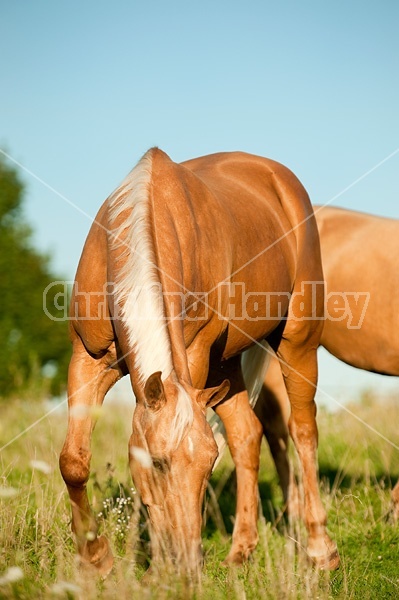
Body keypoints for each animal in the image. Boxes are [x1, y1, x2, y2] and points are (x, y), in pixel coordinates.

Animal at [59, 149, 340, 576]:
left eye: (209, 465)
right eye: (157, 463)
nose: (187, 563)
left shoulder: (193, 356)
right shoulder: (86, 361)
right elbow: (73, 461)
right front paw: (96, 559)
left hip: (298, 343)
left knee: (303, 430)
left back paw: (321, 550)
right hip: (227, 360)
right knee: (246, 434)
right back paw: (241, 549)